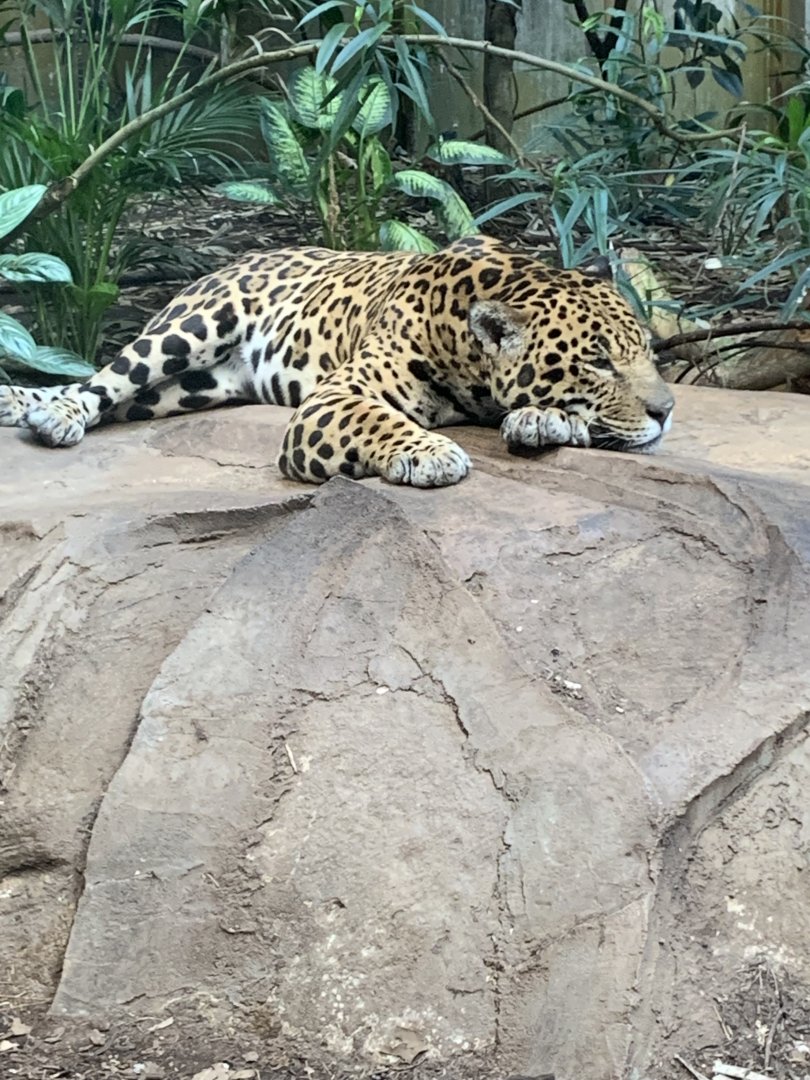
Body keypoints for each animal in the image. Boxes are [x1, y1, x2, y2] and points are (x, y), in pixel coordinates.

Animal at [0, 234, 674, 487]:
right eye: (598, 361)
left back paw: (25, 406)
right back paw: (54, 418)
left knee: (117, 401)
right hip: (187, 332)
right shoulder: (336, 397)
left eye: (645, 349)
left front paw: (543, 420)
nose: (668, 411)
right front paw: (431, 454)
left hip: (192, 388)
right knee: (100, 382)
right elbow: (380, 420)